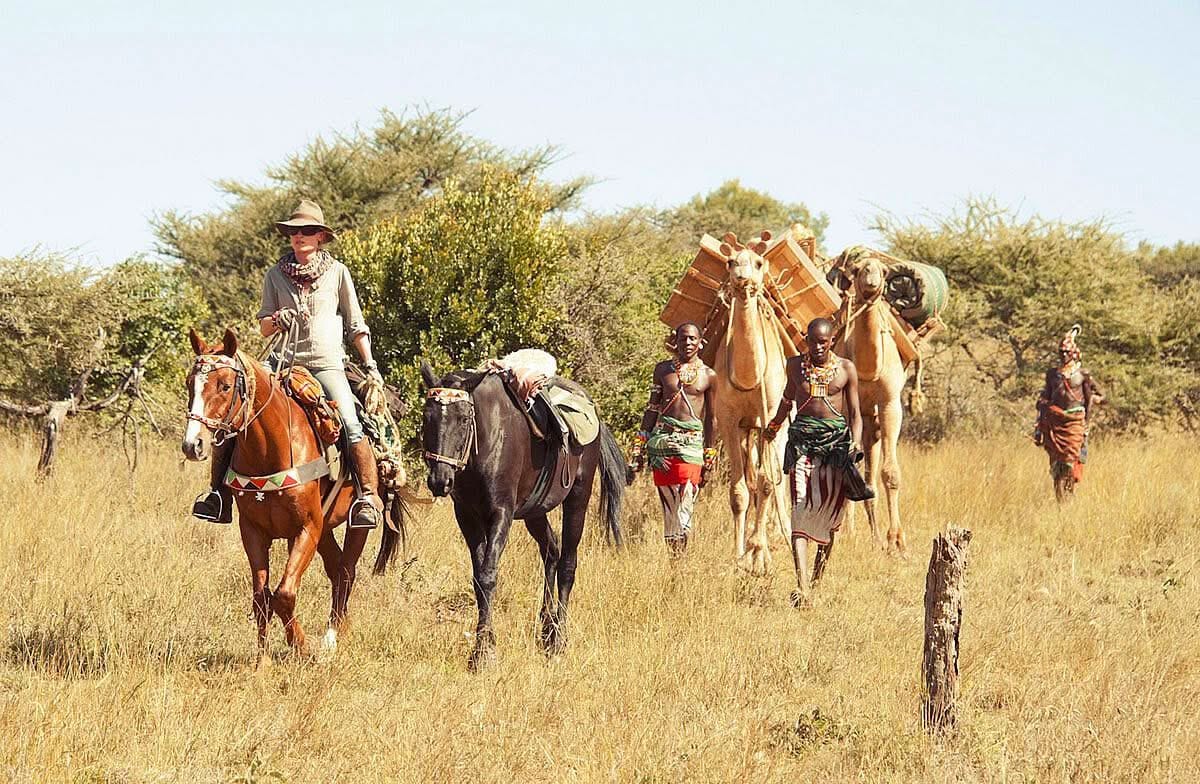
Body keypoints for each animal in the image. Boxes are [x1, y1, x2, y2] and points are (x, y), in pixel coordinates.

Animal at [181, 328, 402, 665]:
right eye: (188, 383)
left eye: (225, 385)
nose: (193, 444)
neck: (270, 449)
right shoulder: (254, 531)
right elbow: (262, 597)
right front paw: (262, 661)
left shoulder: (306, 527)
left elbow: (284, 595)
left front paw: (301, 646)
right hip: (324, 528)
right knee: (335, 568)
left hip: (352, 524)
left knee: (346, 571)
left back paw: (331, 637)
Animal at [420, 360, 626, 671]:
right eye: (427, 417)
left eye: (464, 419)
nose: (439, 480)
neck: (486, 440)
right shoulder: (466, 516)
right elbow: (478, 579)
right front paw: (486, 644)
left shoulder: (501, 513)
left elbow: (488, 575)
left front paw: (482, 653)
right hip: (534, 512)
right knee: (551, 551)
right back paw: (546, 629)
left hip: (577, 499)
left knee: (567, 564)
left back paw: (558, 639)